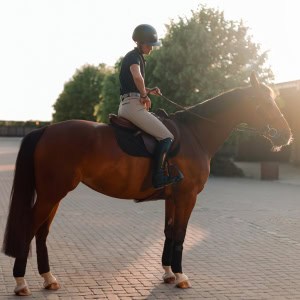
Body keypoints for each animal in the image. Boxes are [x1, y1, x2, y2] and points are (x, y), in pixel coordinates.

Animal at [1, 73, 292, 296]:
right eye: (263, 102)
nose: (286, 135)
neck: (194, 134)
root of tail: (46, 130)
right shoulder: (187, 197)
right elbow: (180, 235)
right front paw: (181, 276)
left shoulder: (172, 198)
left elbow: (169, 232)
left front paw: (168, 273)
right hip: (51, 194)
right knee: (30, 228)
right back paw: (21, 282)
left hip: (54, 195)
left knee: (42, 232)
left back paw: (49, 279)